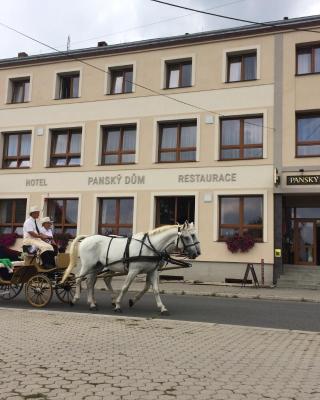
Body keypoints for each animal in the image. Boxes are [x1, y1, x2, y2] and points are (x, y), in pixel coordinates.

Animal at [61, 223, 199, 314]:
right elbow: (125, 287)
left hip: (97, 267)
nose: (196, 253)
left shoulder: (152, 271)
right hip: (88, 265)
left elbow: (155, 289)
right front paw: (118, 305)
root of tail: (87, 238)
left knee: (91, 282)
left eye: (193, 236)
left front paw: (162, 307)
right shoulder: (133, 271)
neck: (151, 247)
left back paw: (92, 303)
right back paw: (75, 299)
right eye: (187, 237)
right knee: (79, 279)